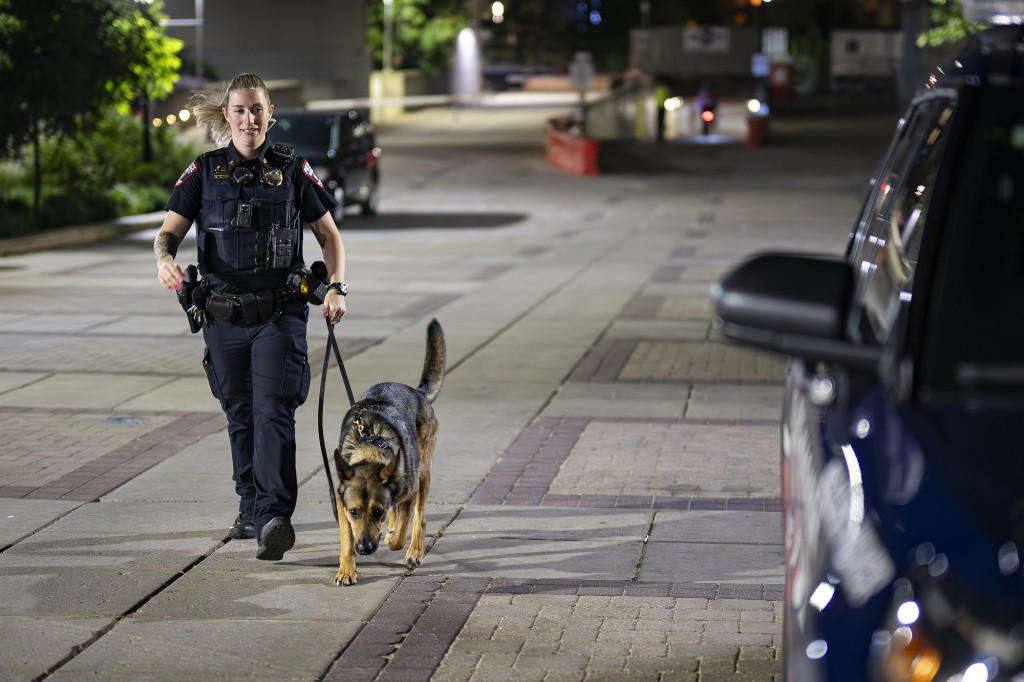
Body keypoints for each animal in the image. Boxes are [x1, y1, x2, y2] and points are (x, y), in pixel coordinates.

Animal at [331, 319, 444, 585]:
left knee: (419, 518)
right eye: (354, 512)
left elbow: (400, 534)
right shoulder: (342, 505)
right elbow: (346, 540)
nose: (364, 549)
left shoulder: (409, 493)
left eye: (377, 511)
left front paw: (392, 538)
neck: (371, 446)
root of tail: (416, 392)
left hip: (423, 473)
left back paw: (415, 549)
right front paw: (346, 570)